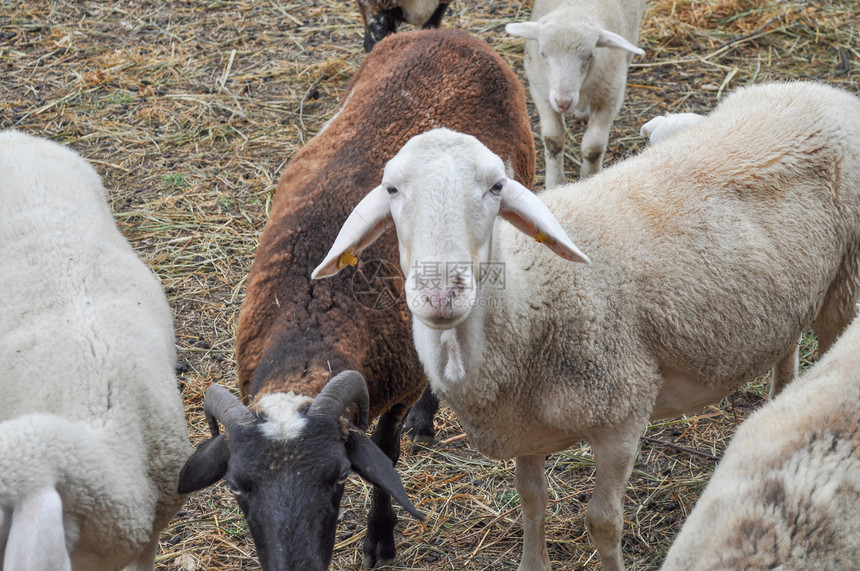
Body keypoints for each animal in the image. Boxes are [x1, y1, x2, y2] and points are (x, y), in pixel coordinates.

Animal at [178, 29, 536, 568]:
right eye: (238, 488)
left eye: (339, 478)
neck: (311, 317)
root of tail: (448, 34)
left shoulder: (396, 384)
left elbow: (385, 457)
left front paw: (379, 538)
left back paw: (425, 418)